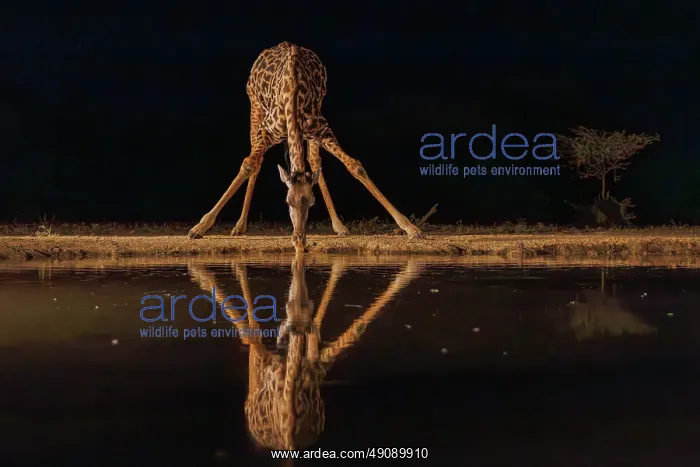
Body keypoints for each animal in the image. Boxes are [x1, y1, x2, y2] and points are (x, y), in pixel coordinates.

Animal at [187, 41, 425, 250]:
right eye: (287, 202)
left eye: (311, 202)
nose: (299, 240)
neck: (292, 94)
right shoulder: (266, 130)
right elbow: (248, 165)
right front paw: (199, 227)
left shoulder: (322, 130)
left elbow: (355, 166)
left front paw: (411, 228)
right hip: (255, 108)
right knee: (257, 161)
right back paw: (239, 226)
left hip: (314, 122)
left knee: (313, 160)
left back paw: (339, 226)